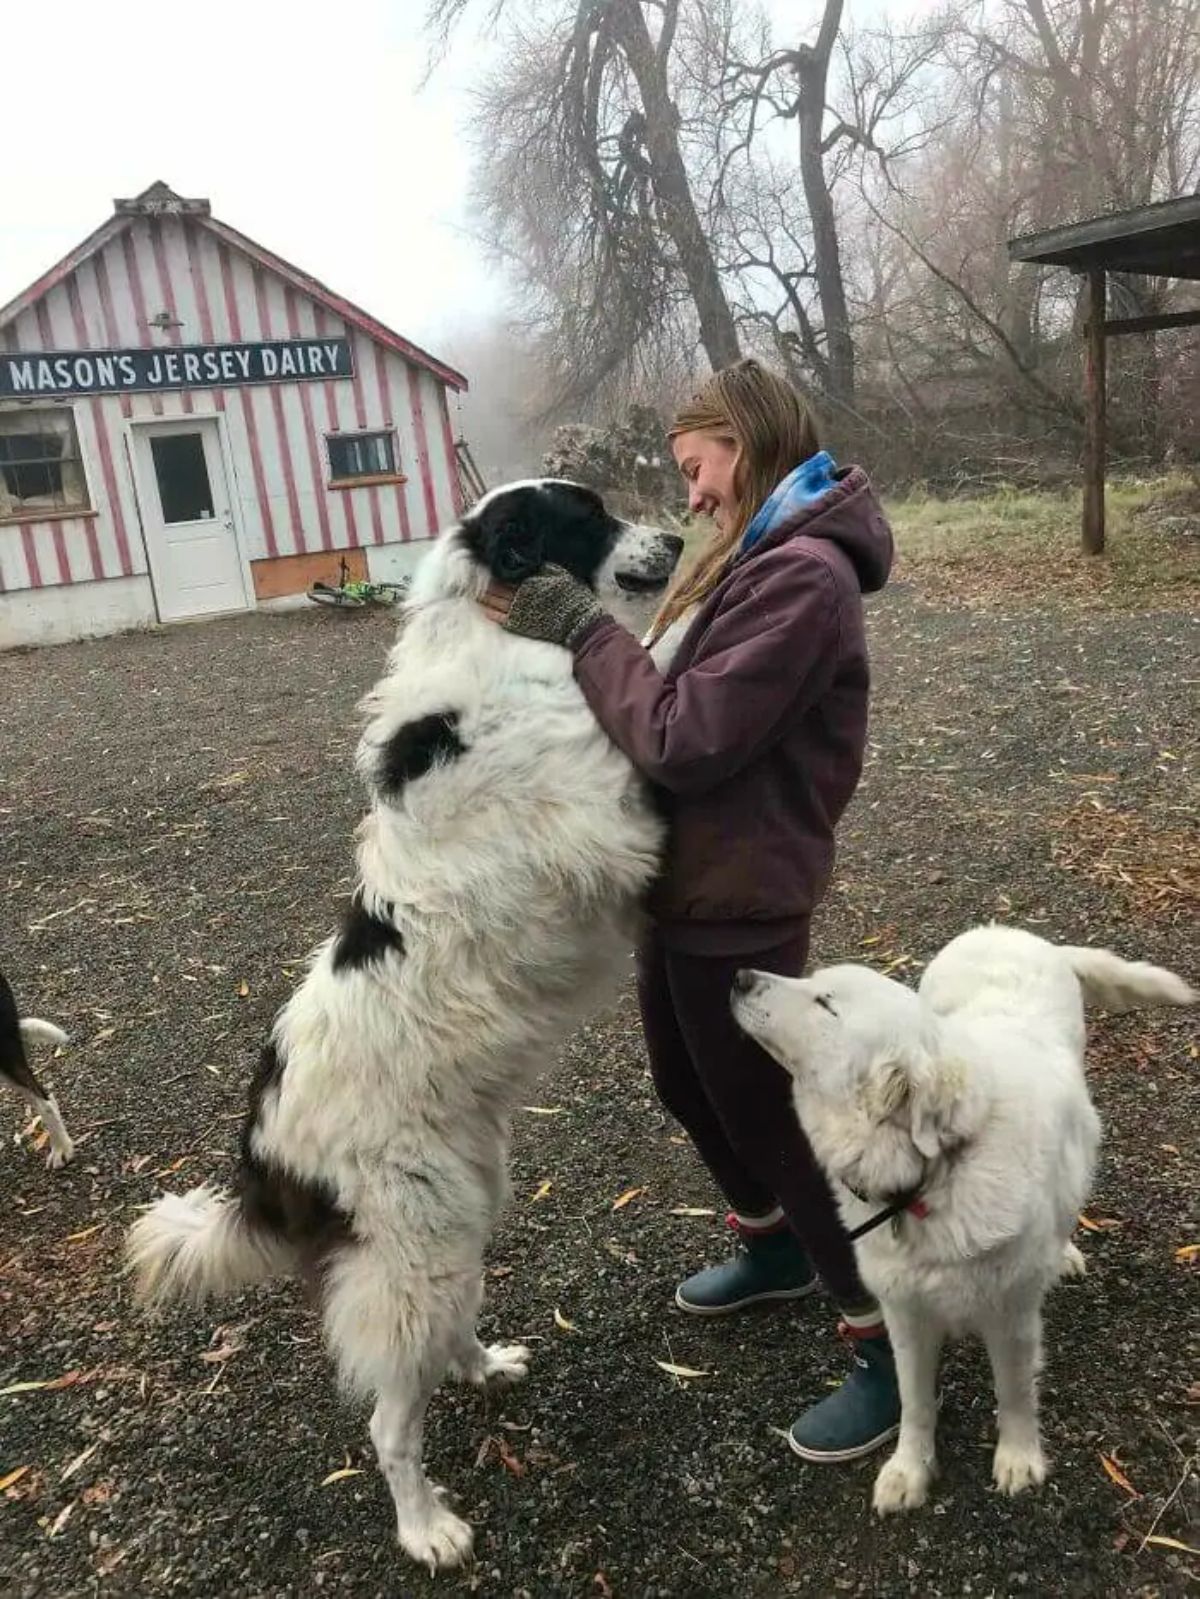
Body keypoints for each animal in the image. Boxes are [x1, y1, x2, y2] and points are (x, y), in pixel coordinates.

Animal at [129, 476, 684, 1573]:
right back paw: (427, 1527)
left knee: (444, 1330)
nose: (682, 536)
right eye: (587, 515)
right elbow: (670, 665)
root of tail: (259, 1153)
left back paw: (480, 1362)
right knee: (390, 1423)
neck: (496, 630)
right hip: (410, 1244)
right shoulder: (614, 815)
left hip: (457, 1207)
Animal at [729, 927, 1196, 1509]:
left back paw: (1063, 1252)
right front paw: (909, 1470)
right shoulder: (904, 1313)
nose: (740, 976)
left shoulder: (1010, 1317)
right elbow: (914, 1402)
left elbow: (1013, 1393)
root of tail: (1014, 932)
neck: (932, 1177)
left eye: (826, 1004)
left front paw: (1018, 1457)